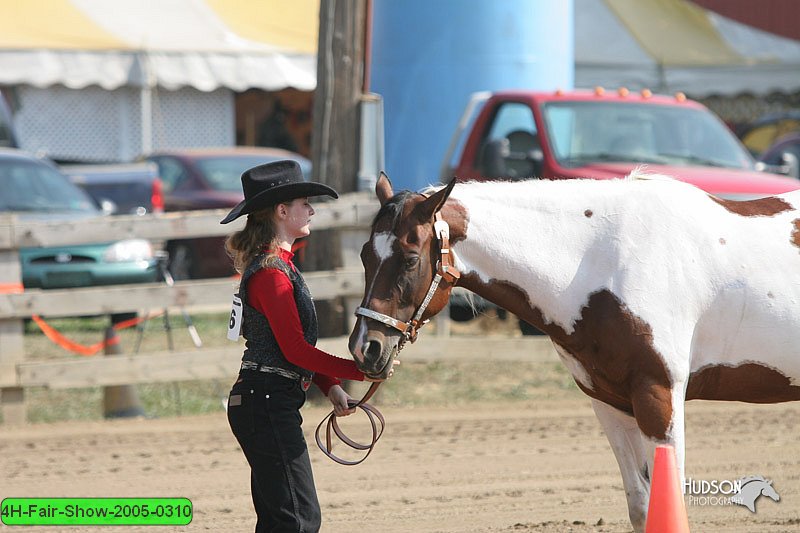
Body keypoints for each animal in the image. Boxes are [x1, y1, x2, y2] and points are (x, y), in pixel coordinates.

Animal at [348, 171, 800, 532]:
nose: (366, 347)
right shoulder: (610, 401)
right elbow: (642, 507)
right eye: (365, 255)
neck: (605, 261)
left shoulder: (660, 395)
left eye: (409, 260)